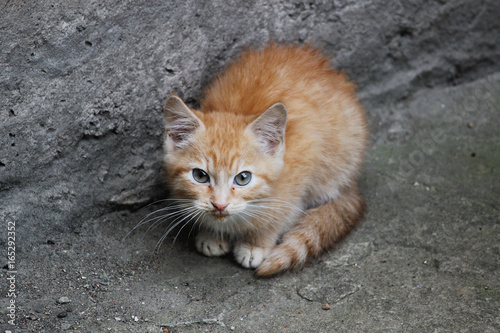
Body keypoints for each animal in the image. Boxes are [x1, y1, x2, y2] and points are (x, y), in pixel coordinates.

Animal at [163, 42, 368, 274]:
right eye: (200, 176)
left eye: (243, 178)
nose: (220, 205)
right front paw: (212, 233)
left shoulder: (302, 169)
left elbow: (279, 215)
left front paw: (256, 243)